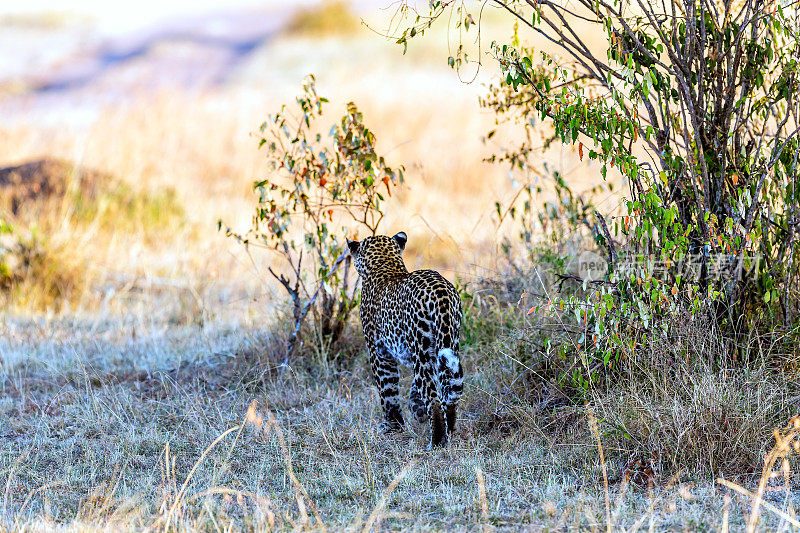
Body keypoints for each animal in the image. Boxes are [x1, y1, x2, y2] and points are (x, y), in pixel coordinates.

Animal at [346, 231, 466, 446]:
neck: (385, 264)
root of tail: (441, 292)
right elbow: (413, 388)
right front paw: (416, 408)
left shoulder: (379, 352)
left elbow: (388, 390)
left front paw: (393, 425)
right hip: (448, 340)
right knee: (448, 390)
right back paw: (450, 429)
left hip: (421, 345)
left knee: (434, 398)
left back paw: (436, 441)